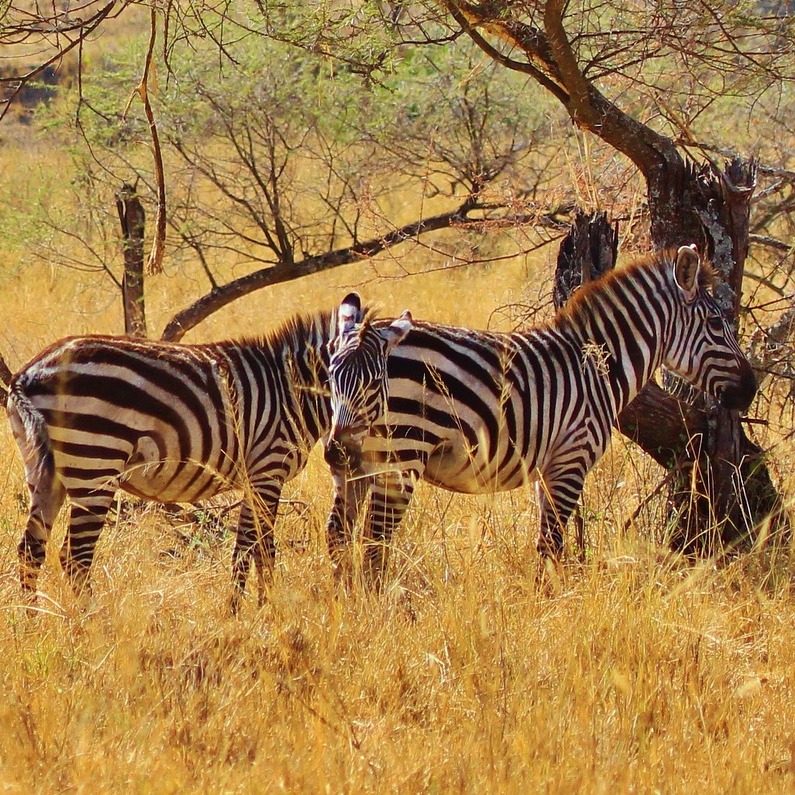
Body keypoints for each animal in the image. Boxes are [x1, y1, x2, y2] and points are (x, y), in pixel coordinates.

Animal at [7, 299, 405, 611]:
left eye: (374, 383)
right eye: (331, 379)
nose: (337, 452)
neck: (289, 392)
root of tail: (27, 373)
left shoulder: (254, 479)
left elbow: (246, 549)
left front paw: (242, 611)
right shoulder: (268, 470)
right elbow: (261, 549)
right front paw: (265, 613)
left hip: (45, 471)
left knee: (31, 551)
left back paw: (36, 624)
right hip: (94, 462)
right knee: (75, 558)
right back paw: (91, 625)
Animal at [324, 246, 758, 586]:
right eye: (716, 323)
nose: (751, 389)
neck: (598, 367)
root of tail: (372, 334)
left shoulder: (544, 470)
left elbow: (547, 543)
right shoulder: (571, 458)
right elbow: (552, 544)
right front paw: (549, 608)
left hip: (354, 459)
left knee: (339, 536)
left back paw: (346, 606)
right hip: (401, 454)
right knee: (375, 542)